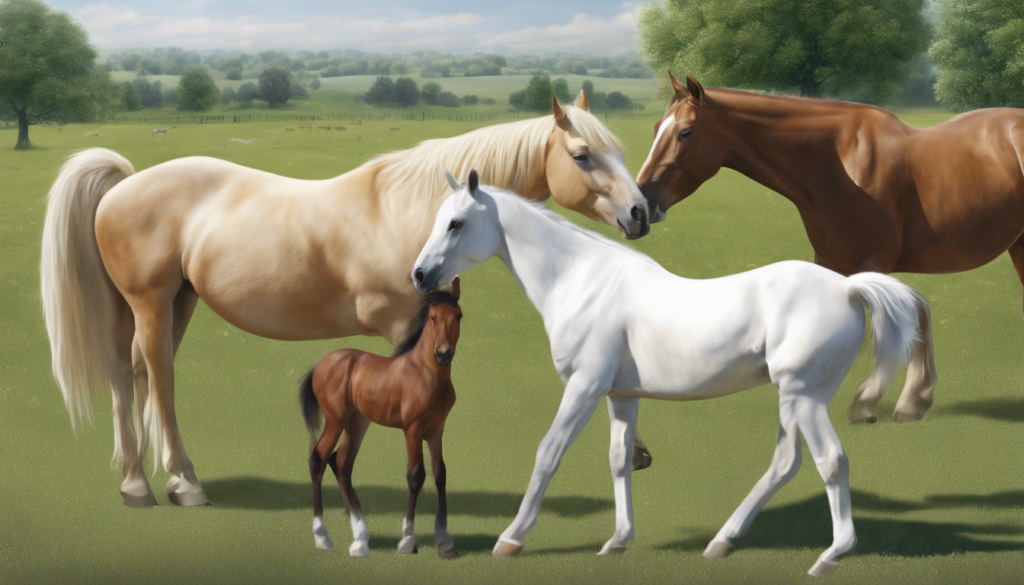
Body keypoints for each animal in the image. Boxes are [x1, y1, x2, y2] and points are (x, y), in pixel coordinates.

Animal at [40, 92, 651, 508]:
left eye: (615, 150)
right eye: (582, 155)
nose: (641, 212)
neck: (412, 212)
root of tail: (125, 182)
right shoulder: (403, 327)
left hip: (176, 303)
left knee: (133, 373)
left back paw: (138, 480)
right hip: (150, 302)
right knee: (157, 378)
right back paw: (181, 481)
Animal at [298, 279, 462, 559]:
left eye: (458, 315)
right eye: (432, 317)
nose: (443, 354)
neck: (425, 374)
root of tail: (320, 363)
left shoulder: (436, 430)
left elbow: (440, 474)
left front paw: (445, 542)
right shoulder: (413, 430)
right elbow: (416, 476)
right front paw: (407, 541)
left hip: (357, 422)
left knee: (341, 463)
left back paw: (360, 539)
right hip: (336, 420)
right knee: (318, 458)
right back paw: (322, 537)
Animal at [412, 171, 928, 577]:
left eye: (456, 223)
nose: (418, 275)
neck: (580, 281)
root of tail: (848, 288)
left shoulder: (584, 387)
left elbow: (548, 453)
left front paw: (511, 539)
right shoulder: (620, 395)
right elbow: (619, 460)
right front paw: (617, 540)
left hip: (805, 397)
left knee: (830, 462)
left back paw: (829, 556)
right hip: (794, 398)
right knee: (785, 463)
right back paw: (721, 542)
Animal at [635, 71, 987, 425]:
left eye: (685, 132)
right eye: (655, 128)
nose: (637, 209)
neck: (842, 163)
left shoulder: (876, 262)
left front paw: (869, 402)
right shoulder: (830, 262)